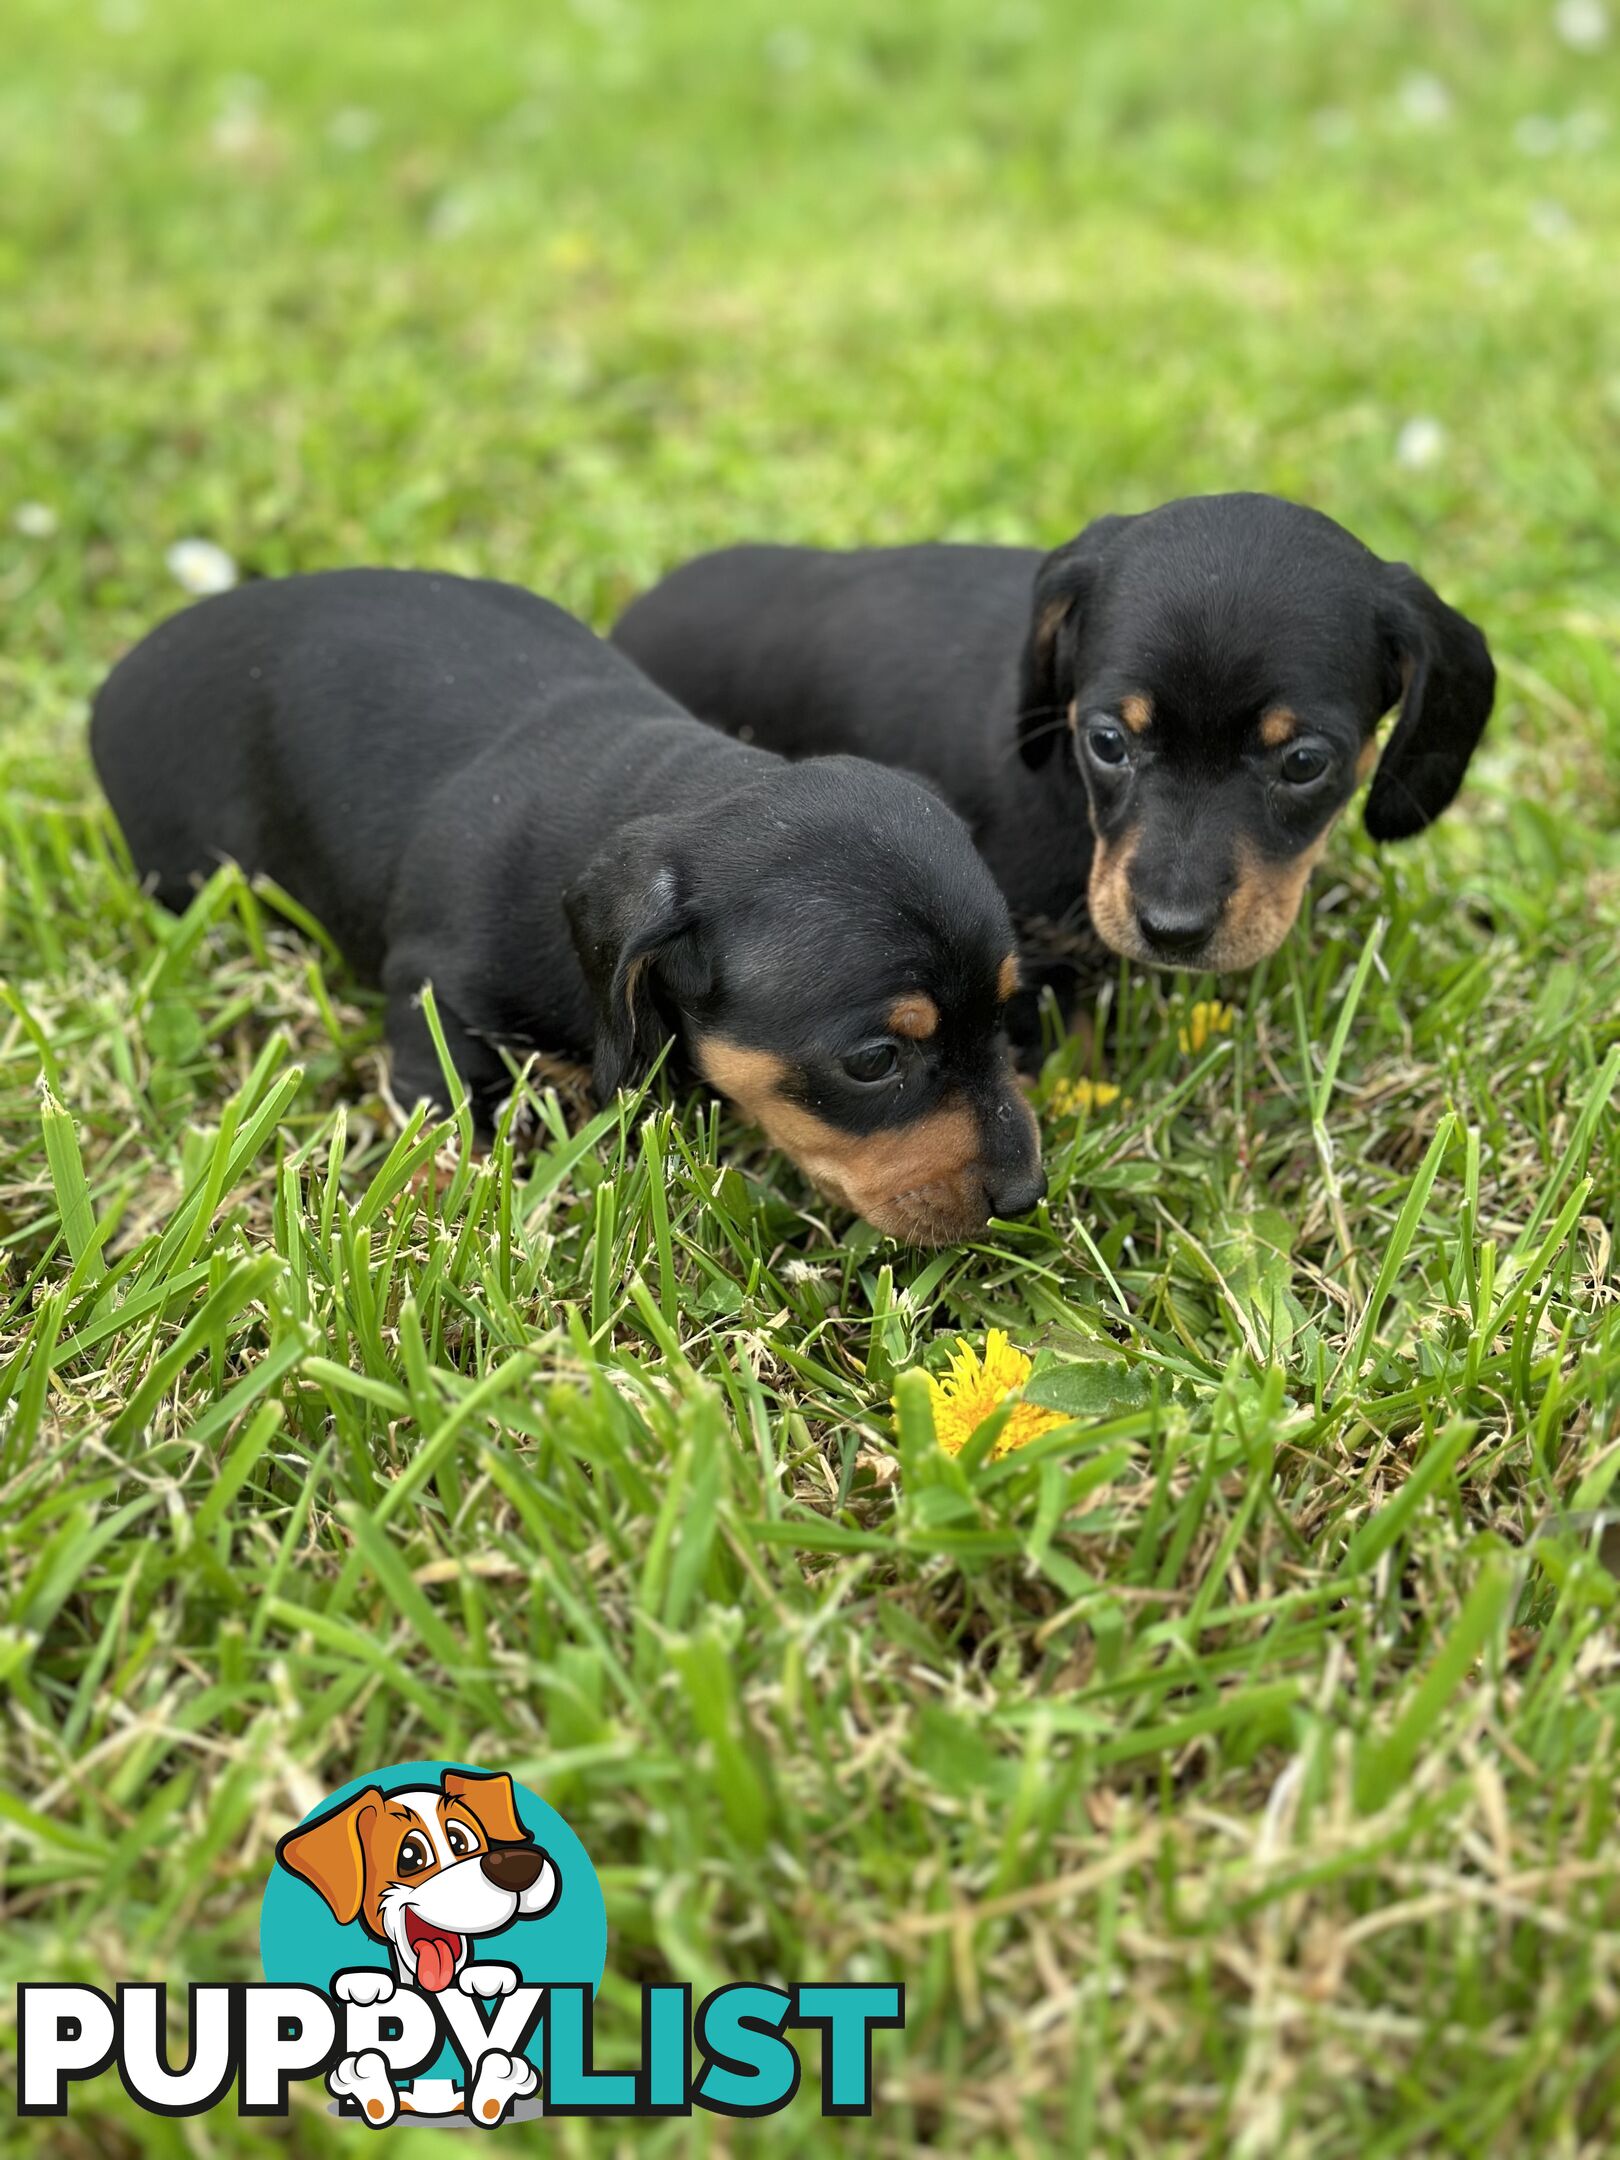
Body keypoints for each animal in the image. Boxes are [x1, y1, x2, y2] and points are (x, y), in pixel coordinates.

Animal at [91, 570, 1054, 1252]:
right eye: (874, 1061)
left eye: (1009, 1012)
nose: (1024, 1198)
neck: (672, 790)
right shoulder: (436, 1001)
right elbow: (444, 1123)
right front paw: (436, 1215)